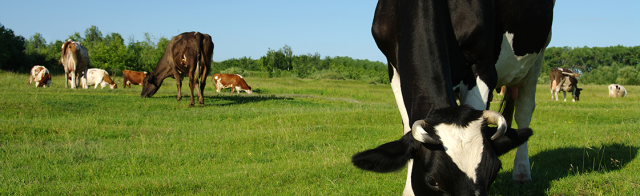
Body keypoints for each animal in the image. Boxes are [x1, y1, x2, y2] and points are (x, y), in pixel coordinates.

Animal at [352, 0, 552, 194]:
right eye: (432, 181)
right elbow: (408, 126)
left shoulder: (483, 66)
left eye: (494, 173)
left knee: (524, 111)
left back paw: (522, 173)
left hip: (538, 56)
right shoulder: (393, 68)